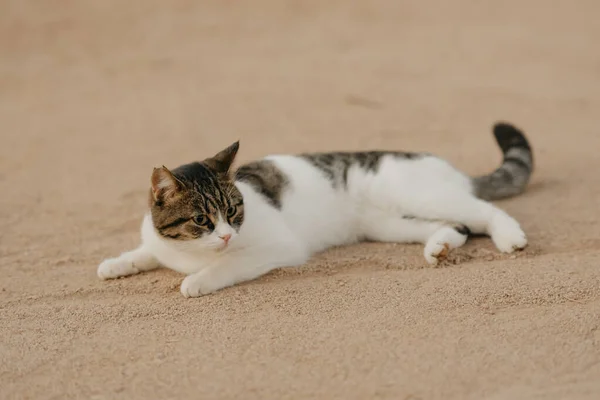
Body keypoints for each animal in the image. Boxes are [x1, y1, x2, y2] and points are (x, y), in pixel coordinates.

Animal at [98, 122, 536, 296]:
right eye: (201, 220)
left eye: (234, 211)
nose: (225, 235)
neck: (189, 251)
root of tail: (447, 166)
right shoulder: (159, 242)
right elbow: (144, 251)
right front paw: (116, 264)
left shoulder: (279, 247)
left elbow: (226, 265)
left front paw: (197, 281)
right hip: (387, 224)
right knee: (457, 225)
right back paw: (439, 247)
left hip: (419, 194)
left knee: (483, 211)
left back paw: (510, 237)